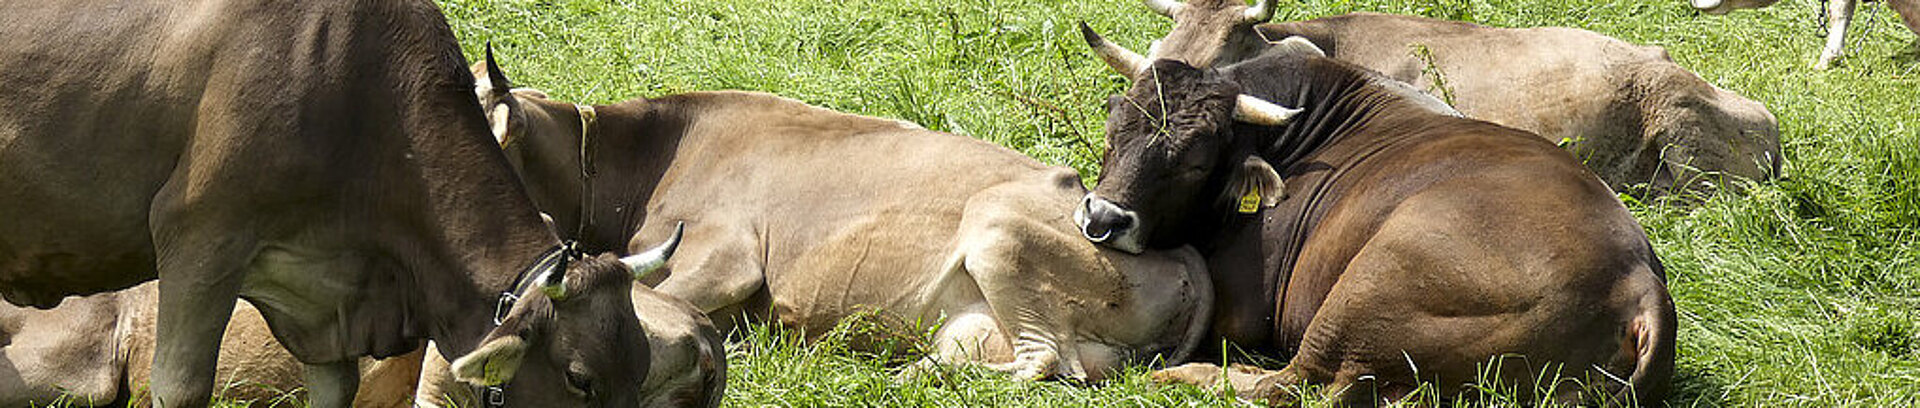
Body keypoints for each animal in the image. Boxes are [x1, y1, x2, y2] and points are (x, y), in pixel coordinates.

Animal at [470, 48, 1205, 383]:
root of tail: (1177, 251)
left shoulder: (725, 256)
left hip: (997, 229)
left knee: (1045, 362)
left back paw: (892, 376)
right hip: (971, 325)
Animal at [1075, 27, 1674, 406]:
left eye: (1196, 161)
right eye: (1114, 126)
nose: (1102, 217)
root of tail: (1637, 279)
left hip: (1365, 289)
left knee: (1298, 383)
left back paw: (1178, 374)